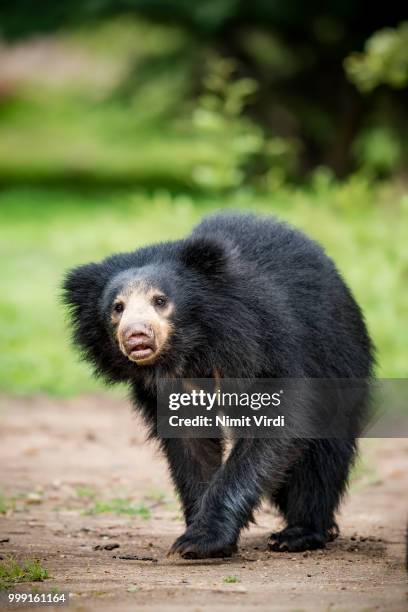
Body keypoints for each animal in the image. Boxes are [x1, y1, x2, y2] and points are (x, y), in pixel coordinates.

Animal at [63, 213, 372, 556]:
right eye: (118, 307)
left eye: (160, 300)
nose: (136, 335)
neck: (194, 347)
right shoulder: (165, 388)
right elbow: (189, 443)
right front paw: (198, 530)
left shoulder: (265, 346)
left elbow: (274, 429)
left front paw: (202, 539)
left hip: (338, 358)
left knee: (322, 456)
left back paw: (299, 532)